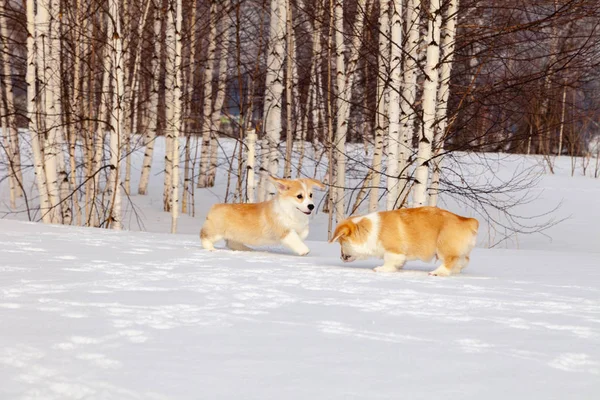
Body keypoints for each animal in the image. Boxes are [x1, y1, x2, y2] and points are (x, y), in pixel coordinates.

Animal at [328, 206, 478, 276]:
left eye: (341, 243)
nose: (341, 257)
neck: (369, 230)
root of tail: (468, 221)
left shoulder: (393, 251)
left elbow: (389, 261)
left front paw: (382, 269)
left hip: (444, 247)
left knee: (449, 261)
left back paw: (437, 272)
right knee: (463, 261)